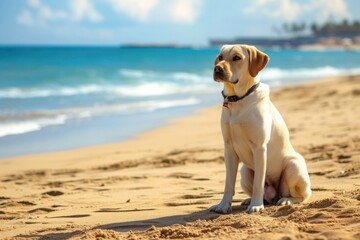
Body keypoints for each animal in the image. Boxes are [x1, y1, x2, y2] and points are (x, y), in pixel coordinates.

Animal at [210, 45, 310, 214]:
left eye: (236, 58)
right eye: (220, 57)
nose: (217, 68)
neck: (238, 100)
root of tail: (276, 195)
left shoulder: (259, 147)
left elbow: (258, 182)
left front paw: (256, 205)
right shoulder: (228, 149)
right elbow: (228, 183)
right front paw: (223, 205)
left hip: (293, 165)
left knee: (302, 196)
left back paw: (286, 200)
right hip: (245, 171)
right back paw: (249, 200)